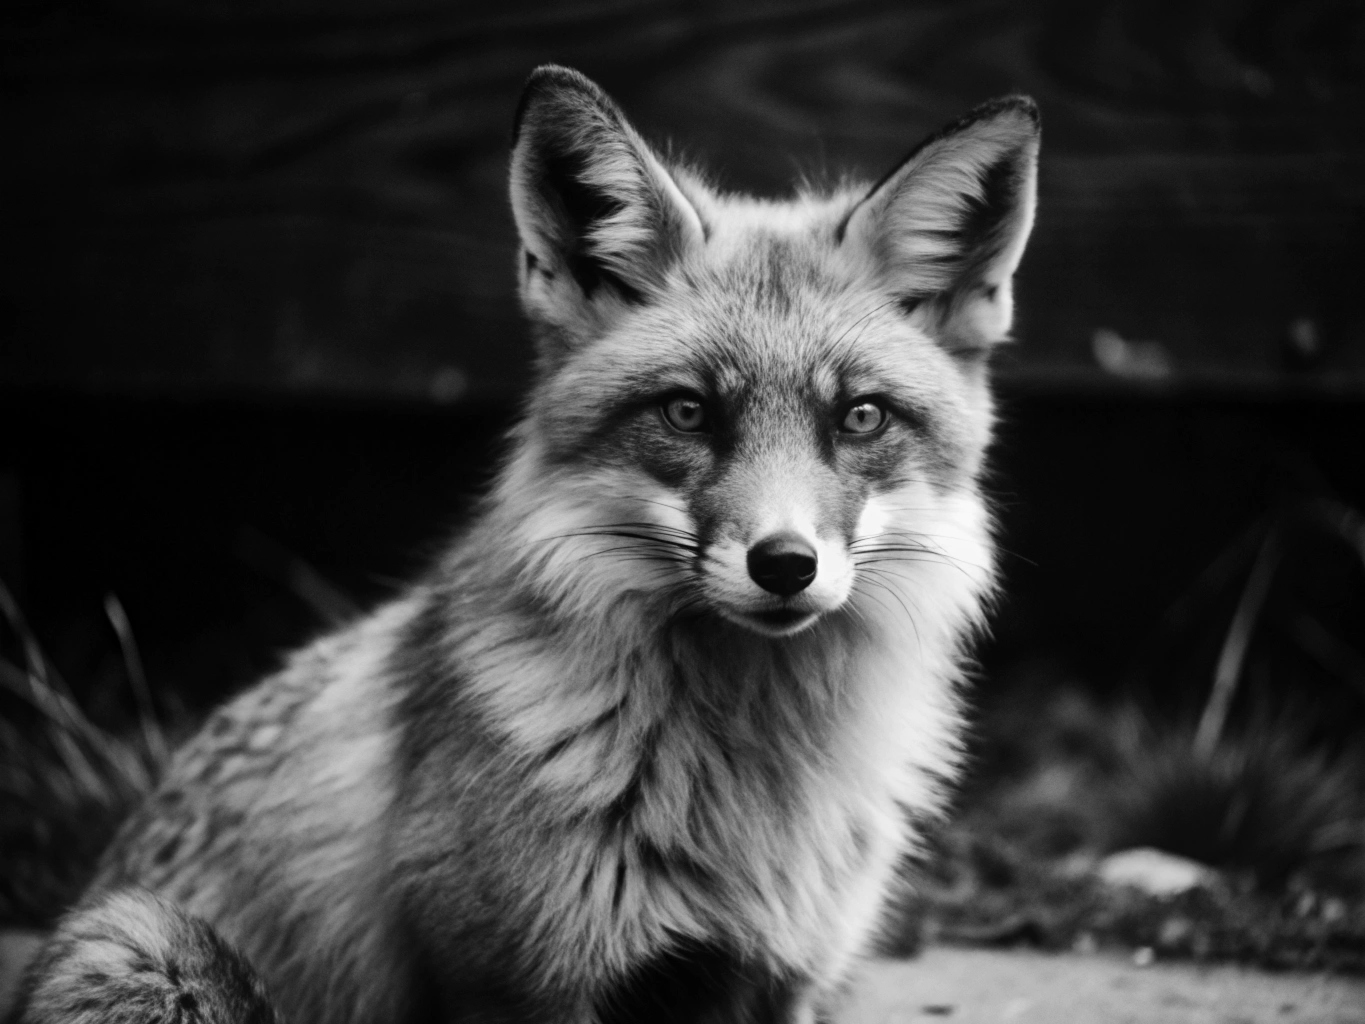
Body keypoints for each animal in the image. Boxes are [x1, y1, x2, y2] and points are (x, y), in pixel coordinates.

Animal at [14, 65, 1039, 1024]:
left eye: (860, 417)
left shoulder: (780, 978)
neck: (745, 783)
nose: (784, 565)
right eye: (687, 412)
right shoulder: (512, 979)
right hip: (142, 946)